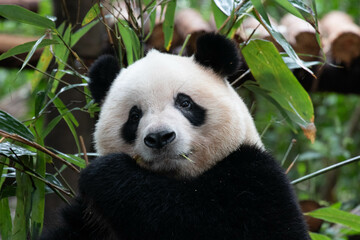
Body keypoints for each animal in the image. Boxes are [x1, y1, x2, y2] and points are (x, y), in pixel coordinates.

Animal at [40, 34, 310, 240]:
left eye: (185, 103)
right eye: (134, 115)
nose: (160, 137)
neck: (176, 179)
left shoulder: (255, 178)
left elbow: (197, 221)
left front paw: (108, 174)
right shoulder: (87, 220)